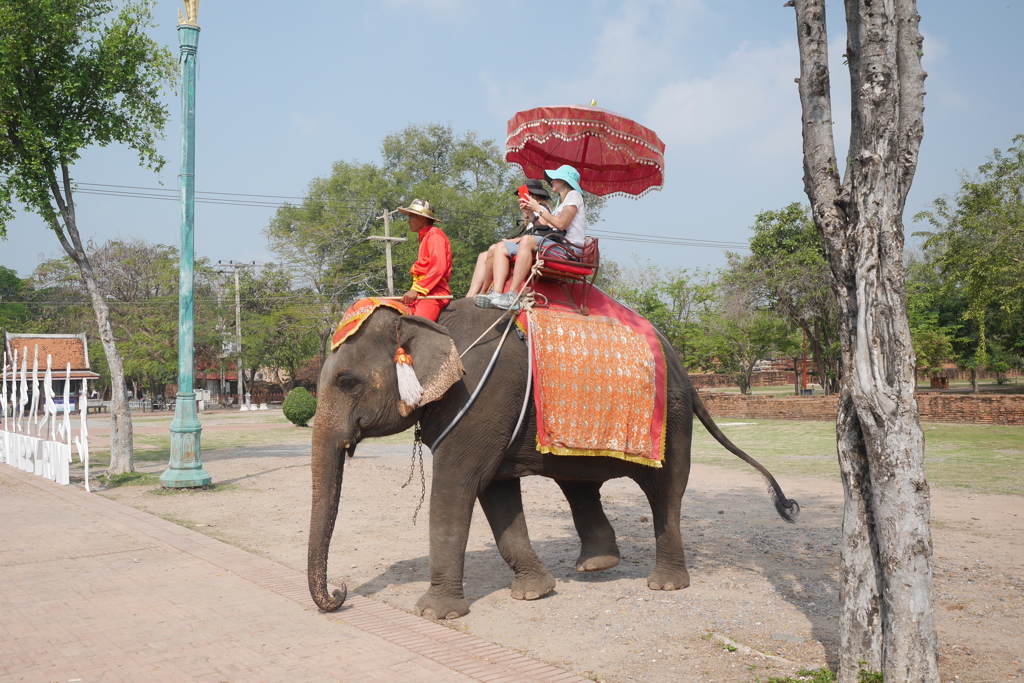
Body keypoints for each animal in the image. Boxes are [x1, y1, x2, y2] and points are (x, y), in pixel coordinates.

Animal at [307, 299, 794, 618]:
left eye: (347, 381)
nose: (341, 591)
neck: (423, 318)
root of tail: (686, 372)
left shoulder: (480, 398)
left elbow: (458, 486)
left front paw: (433, 613)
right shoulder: (490, 414)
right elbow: (496, 492)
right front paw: (533, 594)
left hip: (671, 420)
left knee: (665, 493)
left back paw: (664, 583)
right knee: (580, 486)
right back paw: (597, 565)